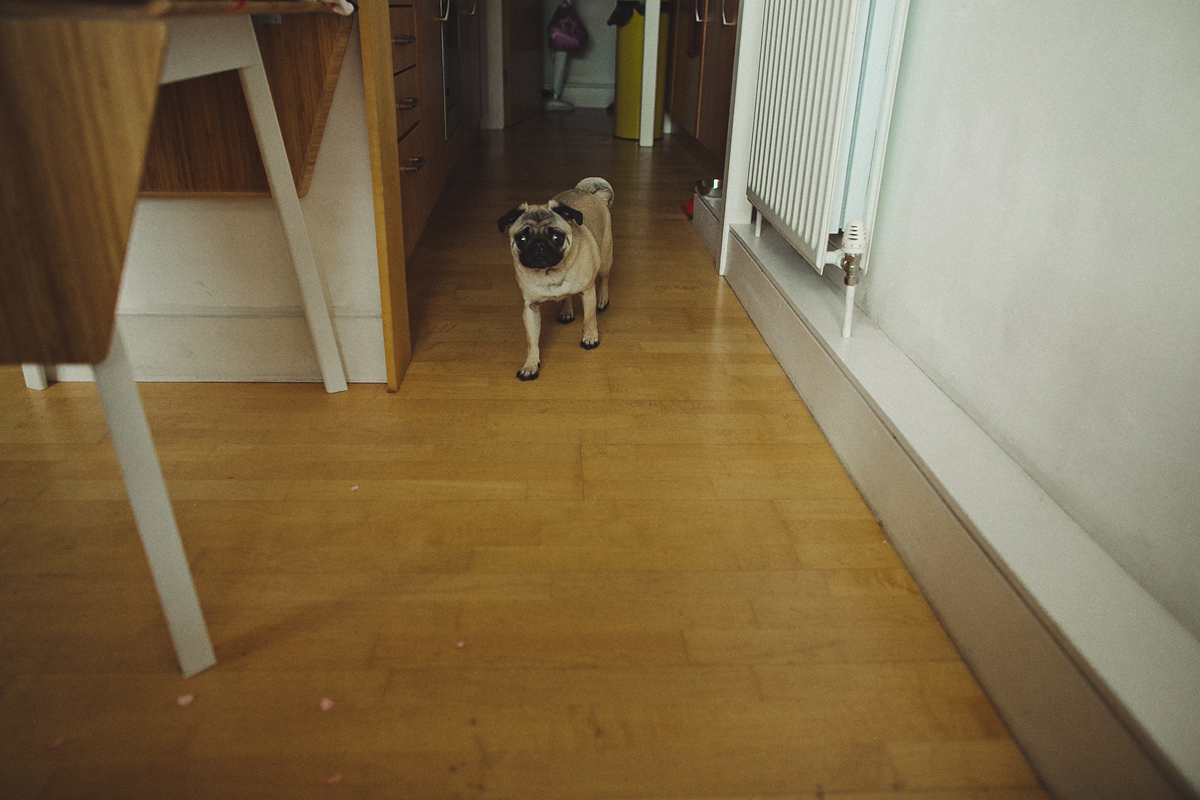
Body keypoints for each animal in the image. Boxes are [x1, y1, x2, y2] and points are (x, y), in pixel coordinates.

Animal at [496, 177, 614, 381]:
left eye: (557, 236)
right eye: (521, 238)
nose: (539, 245)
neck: (550, 272)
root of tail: (586, 191)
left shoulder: (587, 291)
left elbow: (589, 318)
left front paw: (590, 338)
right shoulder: (531, 307)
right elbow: (532, 342)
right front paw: (530, 365)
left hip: (605, 258)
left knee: (604, 278)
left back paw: (602, 299)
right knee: (566, 296)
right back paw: (566, 311)